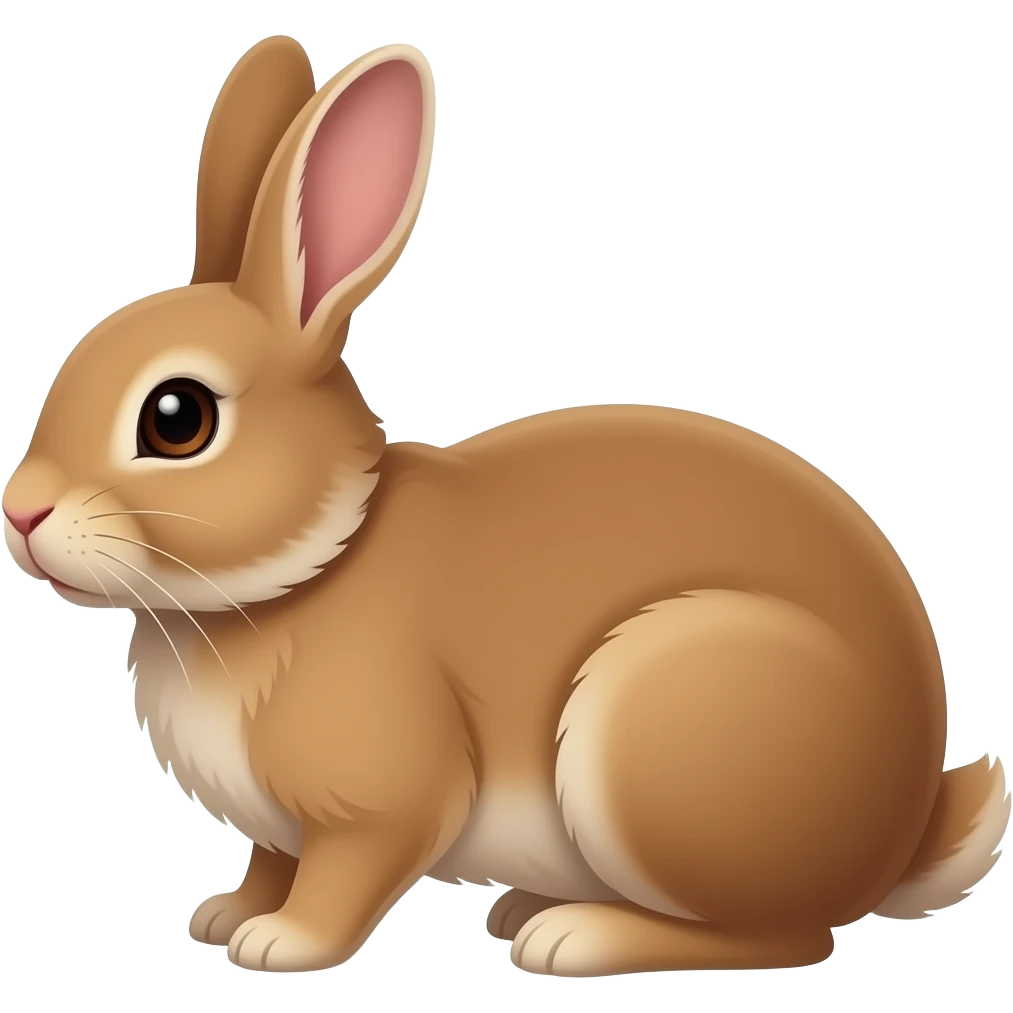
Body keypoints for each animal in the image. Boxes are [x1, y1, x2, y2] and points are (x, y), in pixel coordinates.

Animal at [2, 35, 1008, 978]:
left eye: (178, 419)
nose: (21, 513)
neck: (310, 565)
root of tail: (900, 829)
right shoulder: (278, 827)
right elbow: (270, 860)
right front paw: (224, 914)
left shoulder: (378, 802)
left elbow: (344, 875)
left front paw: (279, 941)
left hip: (662, 728)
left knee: (784, 934)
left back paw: (574, 936)